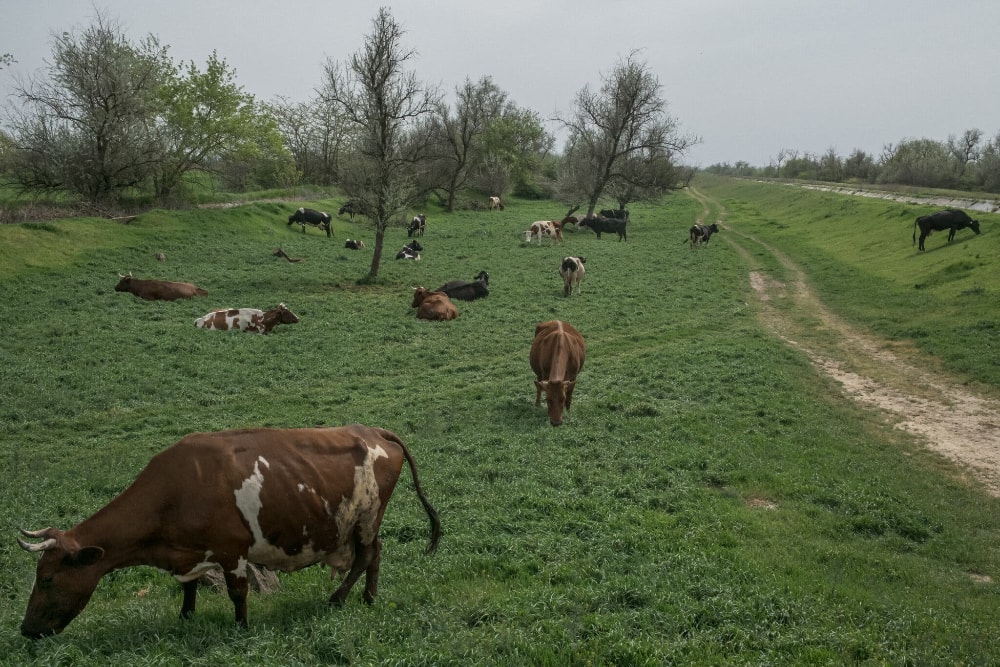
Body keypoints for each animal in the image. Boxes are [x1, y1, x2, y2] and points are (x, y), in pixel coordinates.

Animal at [16, 426, 442, 640]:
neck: (174, 491)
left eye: (48, 578)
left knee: (367, 555)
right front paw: (186, 617)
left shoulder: (231, 550)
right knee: (375, 554)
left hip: (367, 517)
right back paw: (368, 598)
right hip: (357, 523)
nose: (25, 630)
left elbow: (238, 592)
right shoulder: (190, 552)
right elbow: (188, 587)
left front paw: (241, 628)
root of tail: (373, 430)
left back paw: (341, 599)